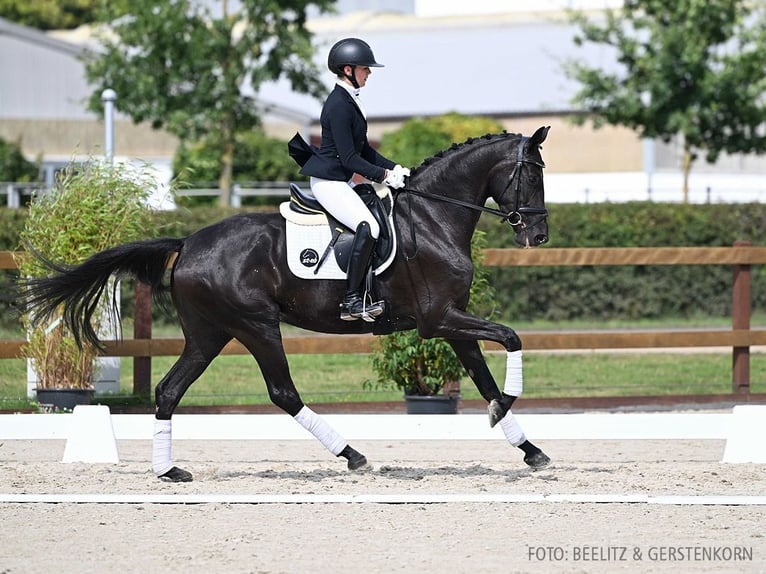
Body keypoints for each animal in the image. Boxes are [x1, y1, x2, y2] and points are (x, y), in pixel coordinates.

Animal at [18, 126, 552, 482]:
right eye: (532, 177)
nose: (540, 236)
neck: (433, 217)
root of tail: (189, 242)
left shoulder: (451, 321)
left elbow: (484, 377)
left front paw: (528, 447)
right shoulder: (439, 320)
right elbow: (511, 338)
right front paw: (508, 412)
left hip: (209, 334)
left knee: (170, 391)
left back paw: (169, 471)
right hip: (256, 325)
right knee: (283, 393)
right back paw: (352, 455)